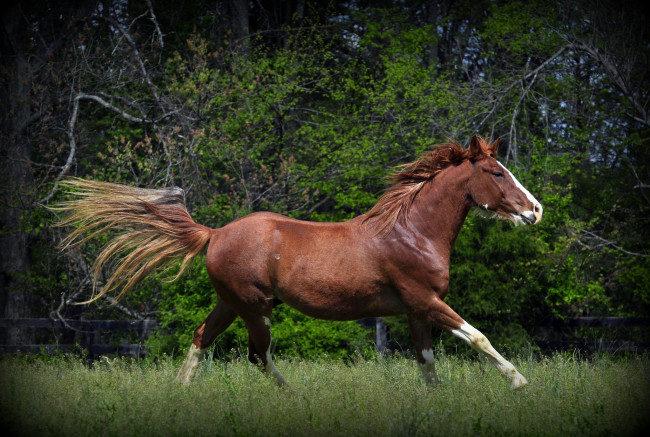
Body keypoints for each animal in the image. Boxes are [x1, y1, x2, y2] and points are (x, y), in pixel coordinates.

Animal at [55, 136, 540, 388]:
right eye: (497, 172)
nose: (535, 211)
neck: (412, 232)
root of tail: (214, 234)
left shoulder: (417, 310)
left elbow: (427, 363)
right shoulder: (426, 301)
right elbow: (477, 337)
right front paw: (519, 383)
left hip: (230, 303)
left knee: (201, 338)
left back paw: (179, 393)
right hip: (255, 308)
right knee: (257, 355)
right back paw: (291, 397)